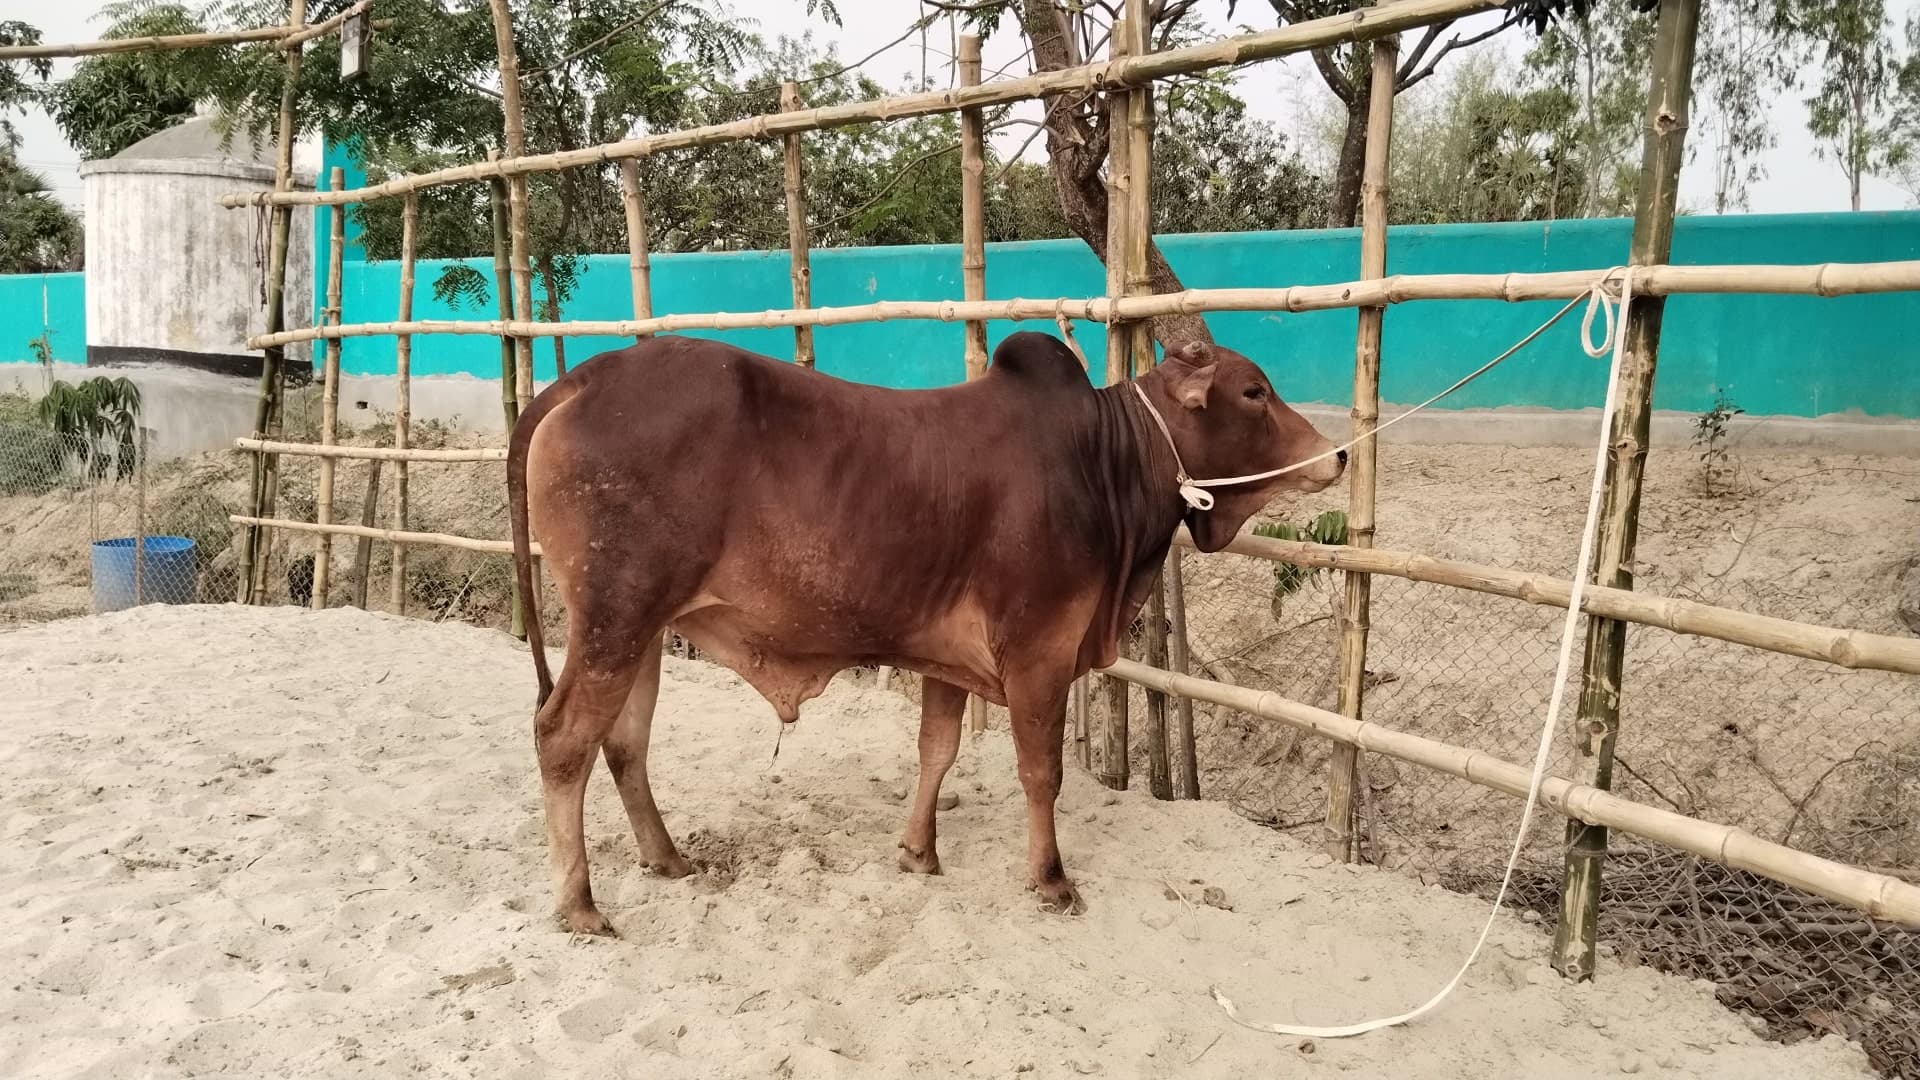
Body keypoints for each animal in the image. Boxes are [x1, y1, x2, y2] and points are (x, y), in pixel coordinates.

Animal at [506, 330, 1344, 935]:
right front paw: (1050, 880)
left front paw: (918, 852)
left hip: (640, 629)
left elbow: (936, 751)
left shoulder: (949, 659)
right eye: (1253, 391)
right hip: (615, 619)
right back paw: (580, 905)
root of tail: (588, 376)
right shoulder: (1039, 653)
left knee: (624, 743)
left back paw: (668, 858)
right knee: (562, 738)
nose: (1336, 454)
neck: (1105, 462)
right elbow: (1041, 773)